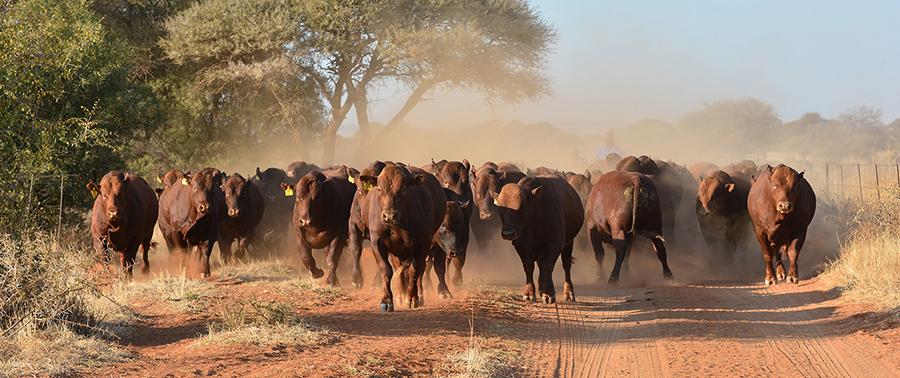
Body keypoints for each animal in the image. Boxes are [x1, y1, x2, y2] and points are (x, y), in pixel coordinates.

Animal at [356, 164, 446, 312]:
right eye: (379, 189)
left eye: (403, 189)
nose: (389, 215)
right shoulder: (377, 242)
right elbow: (386, 270)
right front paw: (387, 301)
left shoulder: (423, 243)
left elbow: (415, 270)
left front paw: (411, 297)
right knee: (398, 269)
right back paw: (399, 295)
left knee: (419, 270)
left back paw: (417, 296)